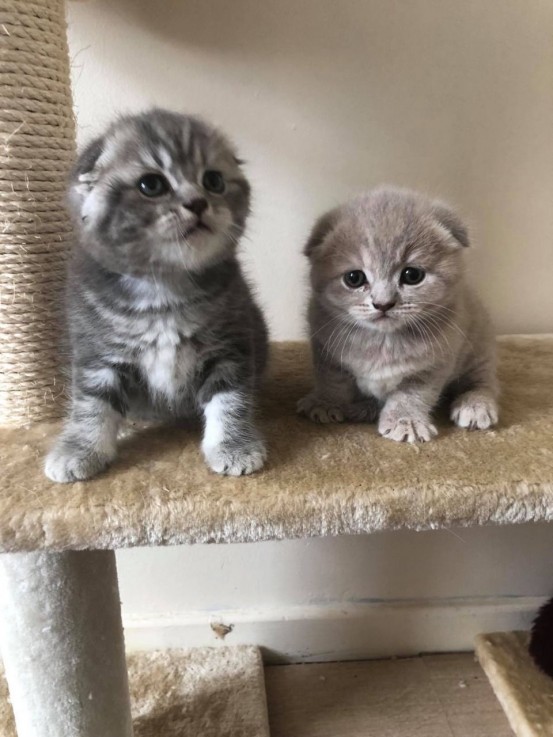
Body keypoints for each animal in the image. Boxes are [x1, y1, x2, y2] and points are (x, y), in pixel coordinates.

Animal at [44, 106, 268, 480]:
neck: (163, 287)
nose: (198, 203)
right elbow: (91, 403)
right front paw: (80, 449)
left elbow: (231, 399)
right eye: (151, 185)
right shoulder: (97, 352)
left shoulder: (230, 344)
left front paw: (234, 446)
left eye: (214, 181)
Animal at [300, 188, 498, 442]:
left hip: (478, 345)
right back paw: (364, 406)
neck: (382, 342)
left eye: (412, 275)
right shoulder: (325, 348)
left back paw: (475, 404)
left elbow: (411, 395)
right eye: (354, 278)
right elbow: (332, 380)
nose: (383, 303)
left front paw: (406, 421)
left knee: (484, 380)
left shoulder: (434, 363)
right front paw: (325, 402)